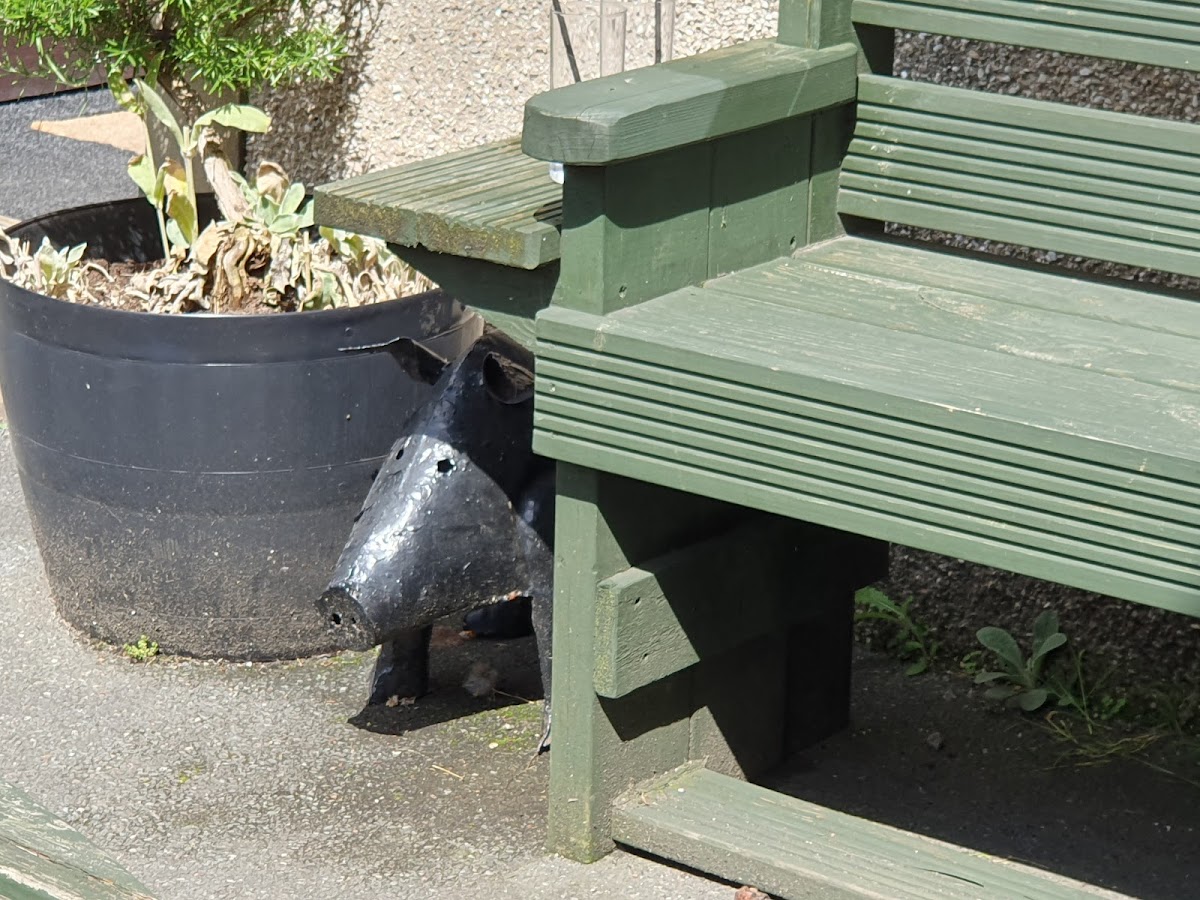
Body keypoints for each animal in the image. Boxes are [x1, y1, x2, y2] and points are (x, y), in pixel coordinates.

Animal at [318, 328, 554, 751]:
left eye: (447, 465)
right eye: (396, 453)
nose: (339, 599)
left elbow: (552, 632)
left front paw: (546, 745)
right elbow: (409, 631)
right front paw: (387, 699)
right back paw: (479, 625)